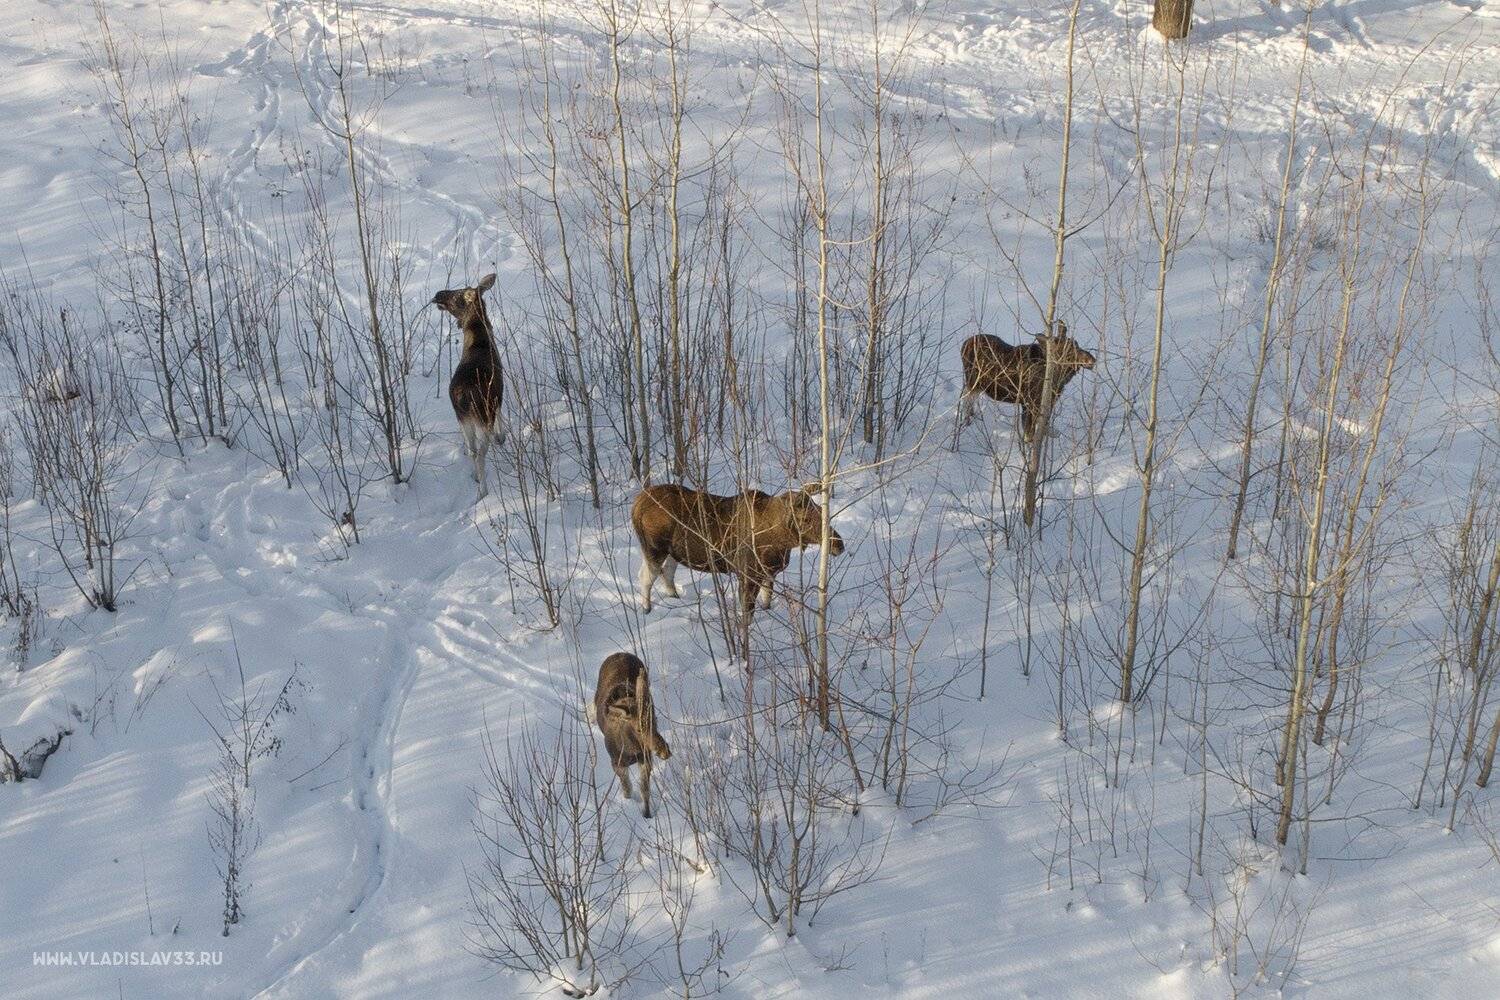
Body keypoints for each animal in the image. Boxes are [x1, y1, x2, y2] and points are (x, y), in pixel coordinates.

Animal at [431, 273, 504, 498]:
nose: (438, 294)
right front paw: (502, 437)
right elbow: (501, 419)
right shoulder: (497, 398)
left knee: (472, 451)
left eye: (457, 295)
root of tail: (463, 396)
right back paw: (483, 491)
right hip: (481, 419)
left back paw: (476, 479)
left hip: (463, 419)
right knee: (479, 454)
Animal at [593, 652, 671, 819]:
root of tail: (620, 653)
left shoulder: (646, 758)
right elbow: (627, 789)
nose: (664, 751)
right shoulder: (616, 762)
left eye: (654, 722)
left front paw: (647, 814)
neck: (631, 748)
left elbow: (645, 790)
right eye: (639, 729)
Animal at [631, 483, 846, 618]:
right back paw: (646, 609)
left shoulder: (769, 572)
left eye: (821, 511)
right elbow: (748, 612)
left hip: (673, 552)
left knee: (667, 572)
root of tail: (636, 504)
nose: (839, 544)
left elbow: (766, 600)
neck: (781, 540)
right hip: (654, 548)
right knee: (645, 577)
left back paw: (674, 597)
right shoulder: (749, 574)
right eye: (806, 519)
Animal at [955, 321, 1096, 446]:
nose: (1091, 360)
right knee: (966, 399)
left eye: (1076, 344)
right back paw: (967, 421)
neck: (1058, 378)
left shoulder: (1047, 403)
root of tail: (964, 345)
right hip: (972, 382)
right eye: (1068, 351)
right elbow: (1029, 433)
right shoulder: (1030, 403)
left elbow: (1044, 425)